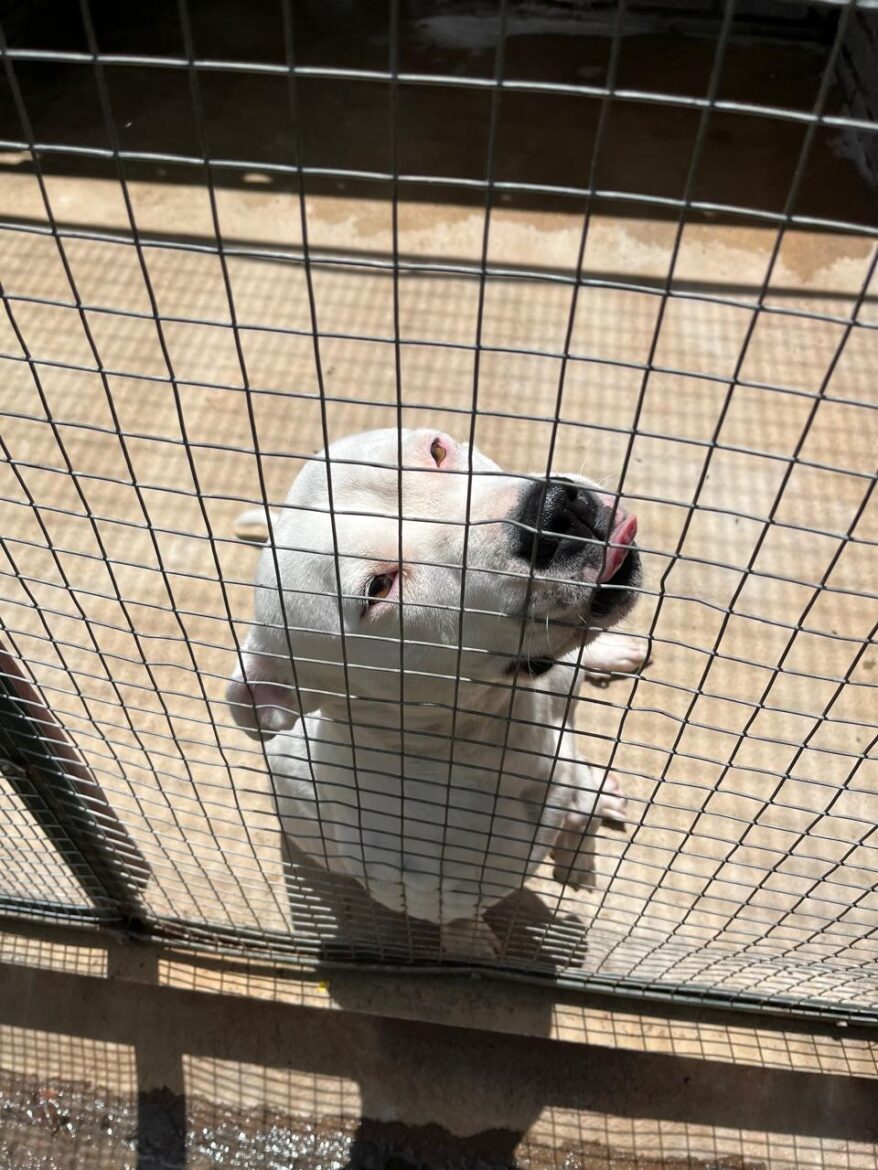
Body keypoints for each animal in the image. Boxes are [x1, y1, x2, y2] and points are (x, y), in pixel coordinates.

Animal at [227, 427, 646, 958]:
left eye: (436, 450)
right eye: (379, 588)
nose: (552, 514)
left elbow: (581, 808)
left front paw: (580, 850)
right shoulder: (428, 894)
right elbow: (459, 916)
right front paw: (471, 942)